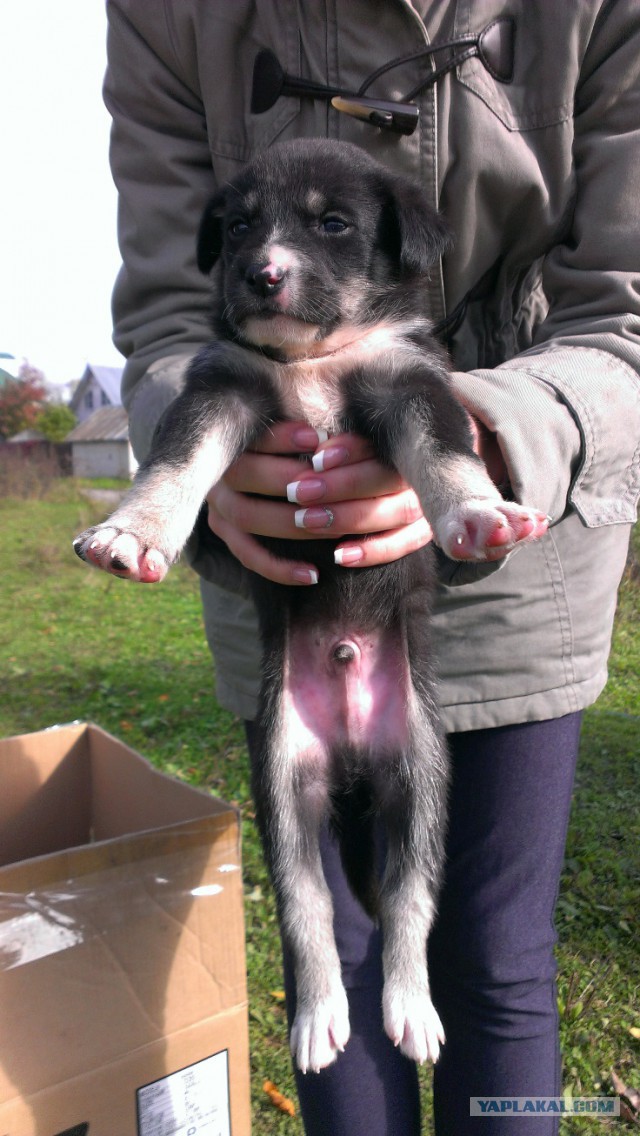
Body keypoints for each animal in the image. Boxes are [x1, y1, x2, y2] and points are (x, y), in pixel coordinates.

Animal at [73, 139, 545, 1072]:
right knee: (309, 908)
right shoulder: (222, 387)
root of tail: (355, 754)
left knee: (407, 903)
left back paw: (409, 1009)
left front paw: (477, 514)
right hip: (284, 785)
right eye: (239, 225)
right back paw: (321, 1018)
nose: (262, 274)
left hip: (423, 785)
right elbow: (174, 465)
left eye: (333, 223)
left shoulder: (412, 384)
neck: (314, 359)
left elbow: (446, 458)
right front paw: (132, 533)